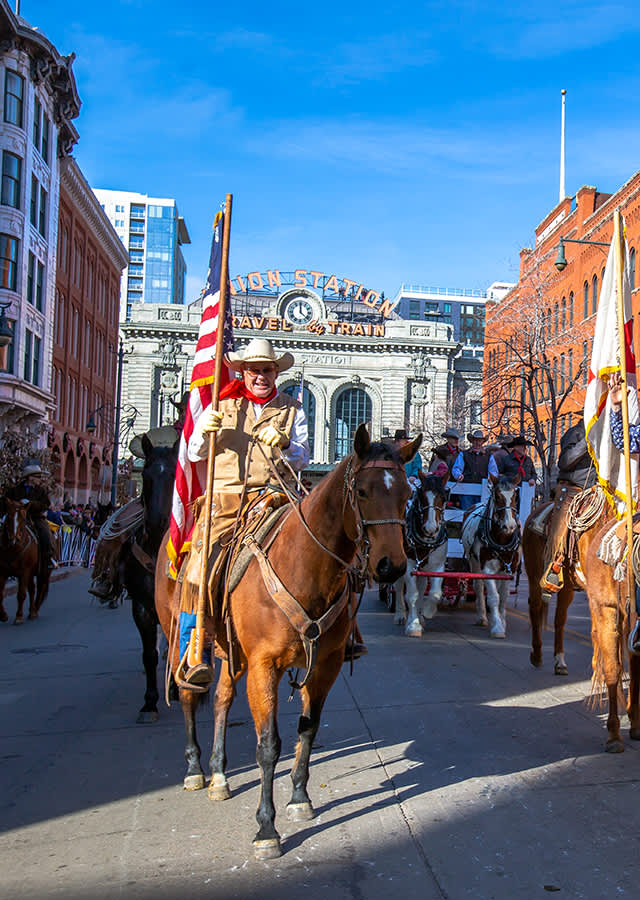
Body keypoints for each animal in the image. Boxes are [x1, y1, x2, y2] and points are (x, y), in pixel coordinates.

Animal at [153, 426, 418, 860]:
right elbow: (268, 745)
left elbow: (307, 730)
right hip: (183, 639)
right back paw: (196, 769)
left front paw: (299, 798)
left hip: (233, 653)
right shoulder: (265, 667)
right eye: (362, 492)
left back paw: (220, 774)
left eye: (407, 492)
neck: (307, 566)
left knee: (222, 698)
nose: (390, 566)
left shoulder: (325, 665)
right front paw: (266, 827)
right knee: (190, 693)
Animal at [392, 474, 448, 636]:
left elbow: (435, 593)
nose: (430, 528)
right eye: (422, 497)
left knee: (422, 587)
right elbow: (412, 595)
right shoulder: (409, 565)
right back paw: (401, 616)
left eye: (443, 497)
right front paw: (413, 625)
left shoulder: (437, 565)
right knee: (399, 587)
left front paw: (428, 611)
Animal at [462, 474, 524, 636]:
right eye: (497, 496)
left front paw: (501, 622)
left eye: (515, 496)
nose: (510, 526)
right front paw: (497, 627)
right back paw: (482, 617)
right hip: (474, 562)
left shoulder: (509, 569)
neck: (502, 540)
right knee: (478, 587)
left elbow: (503, 596)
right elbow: (494, 597)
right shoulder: (487, 568)